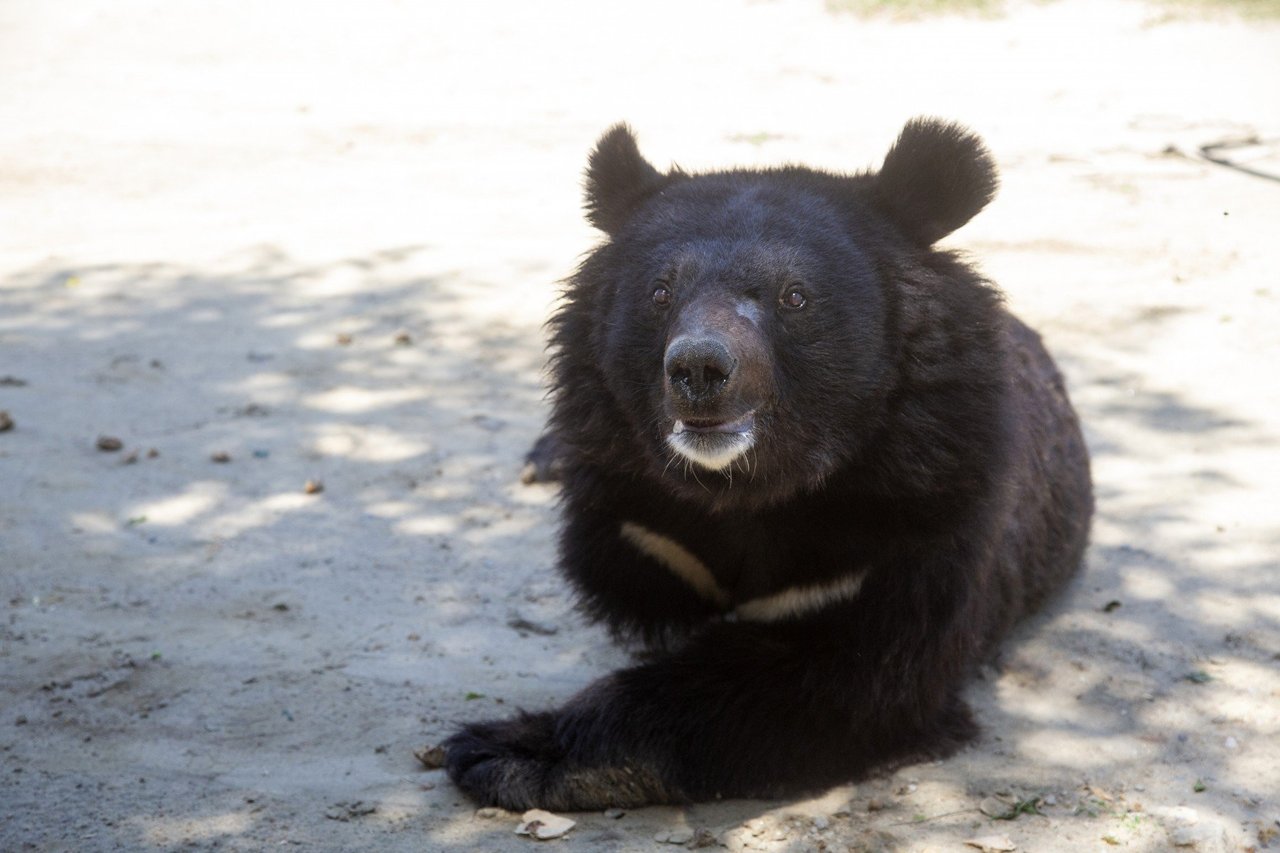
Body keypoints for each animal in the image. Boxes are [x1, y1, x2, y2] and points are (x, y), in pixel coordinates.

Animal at [445, 116, 1095, 809]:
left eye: (795, 297)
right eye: (660, 292)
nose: (698, 369)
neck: (744, 484)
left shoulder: (917, 517)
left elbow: (856, 680)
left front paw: (505, 750)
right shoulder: (628, 501)